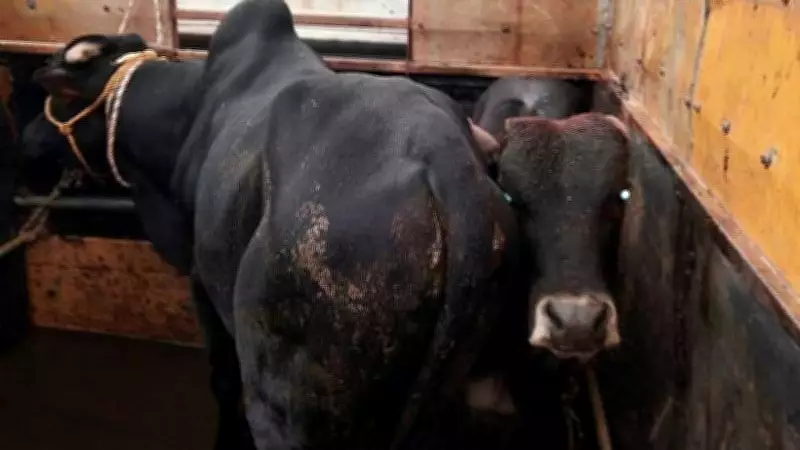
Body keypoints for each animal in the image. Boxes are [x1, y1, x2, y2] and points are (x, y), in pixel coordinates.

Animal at [21, 0, 518, 448]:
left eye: (58, 97)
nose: (26, 136)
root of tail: (447, 165)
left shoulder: (200, 278)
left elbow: (222, 380)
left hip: (282, 395)